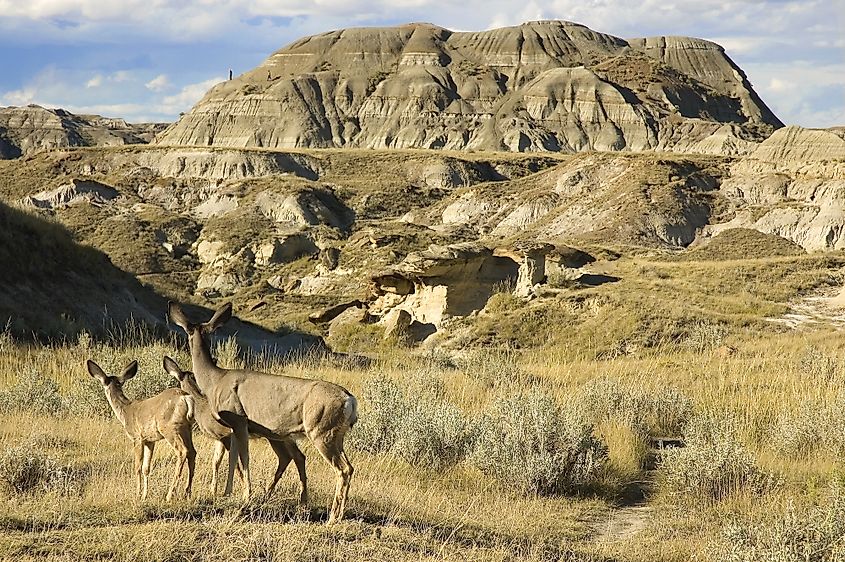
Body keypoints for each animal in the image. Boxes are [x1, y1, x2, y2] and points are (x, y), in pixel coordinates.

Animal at [87, 358, 196, 498]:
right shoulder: (149, 440)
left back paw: (169, 495)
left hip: (170, 428)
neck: (125, 411)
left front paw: (137, 494)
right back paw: (187, 492)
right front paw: (144, 495)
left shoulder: (137, 437)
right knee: (192, 452)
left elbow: (137, 467)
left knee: (183, 451)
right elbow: (146, 468)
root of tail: (186, 397)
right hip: (187, 427)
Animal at [162, 352, 306, 500]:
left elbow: (235, 462)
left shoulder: (226, 435)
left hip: (277, 436)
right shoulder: (218, 438)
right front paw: (213, 490)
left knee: (291, 456)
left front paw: (237, 488)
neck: (202, 408)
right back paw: (273, 493)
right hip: (278, 437)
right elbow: (216, 461)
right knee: (295, 456)